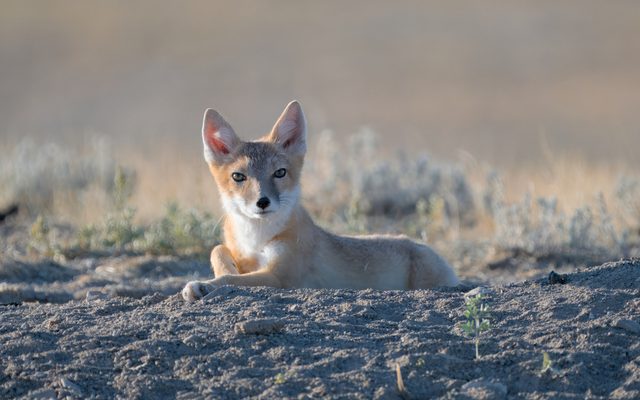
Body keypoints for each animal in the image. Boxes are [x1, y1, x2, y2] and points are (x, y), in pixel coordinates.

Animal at [182, 101, 459, 301]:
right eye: (238, 176)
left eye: (279, 173)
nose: (263, 202)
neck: (255, 237)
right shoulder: (241, 253)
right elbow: (218, 250)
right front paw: (219, 273)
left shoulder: (280, 277)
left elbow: (234, 280)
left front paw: (204, 285)